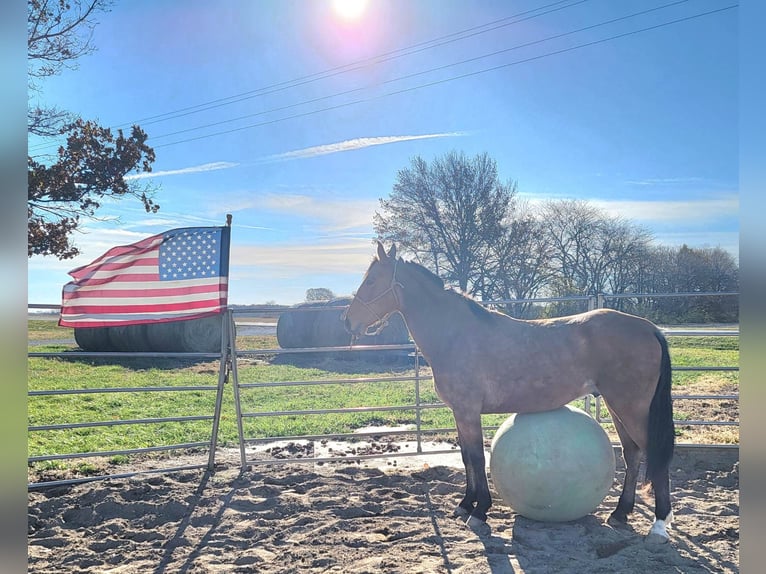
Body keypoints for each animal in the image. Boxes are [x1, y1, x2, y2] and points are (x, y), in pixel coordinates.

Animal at [344, 242, 676, 544]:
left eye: (372, 280)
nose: (348, 322)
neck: (457, 335)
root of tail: (649, 328)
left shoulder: (468, 411)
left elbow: (477, 458)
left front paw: (479, 512)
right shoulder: (459, 412)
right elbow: (466, 457)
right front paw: (465, 506)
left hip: (632, 407)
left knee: (655, 457)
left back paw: (659, 525)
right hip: (617, 405)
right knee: (632, 454)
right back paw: (620, 514)